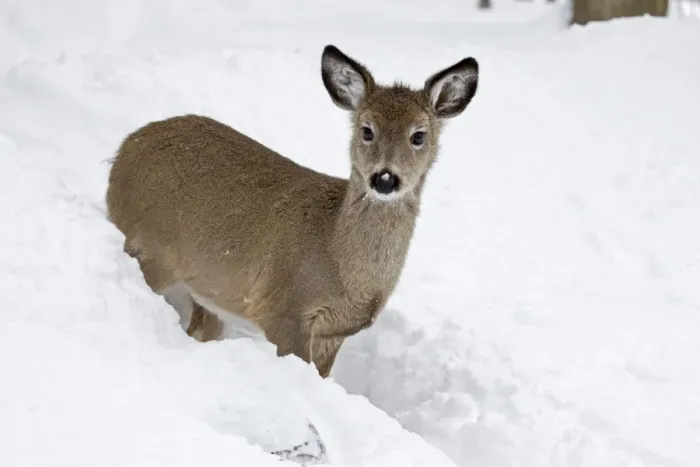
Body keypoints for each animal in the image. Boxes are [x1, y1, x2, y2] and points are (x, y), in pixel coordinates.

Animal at [105, 45, 479, 378]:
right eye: (366, 130)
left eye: (419, 135)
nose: (384, 178)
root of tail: (123, 150)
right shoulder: (284, 310)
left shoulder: (333, 334)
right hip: (149, 249)